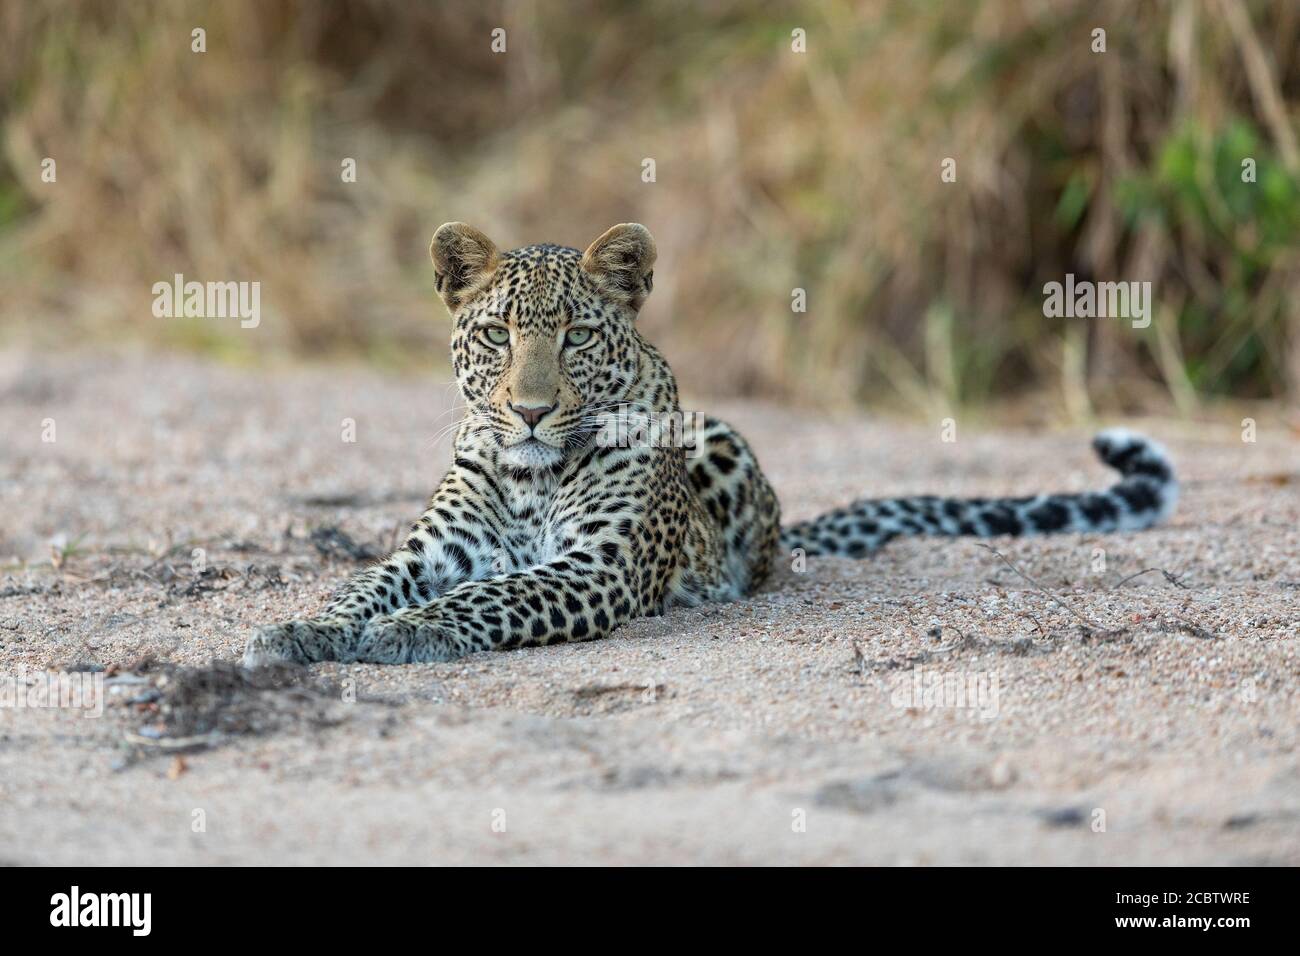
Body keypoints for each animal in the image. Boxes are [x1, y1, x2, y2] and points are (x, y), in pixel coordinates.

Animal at [241, 222, 1180, 665]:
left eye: (576, 337)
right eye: (499, 336)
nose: (533, 411)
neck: (534, 477)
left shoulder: (600, 566)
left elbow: (486, 596)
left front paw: (409, 632)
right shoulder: (432, 551)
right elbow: (362, 587)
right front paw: (301, 631)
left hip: (718, 441)